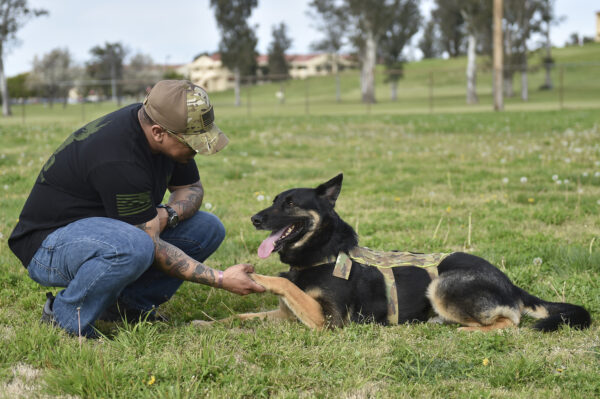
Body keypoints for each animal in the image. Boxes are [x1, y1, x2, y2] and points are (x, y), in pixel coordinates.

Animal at [206, 173, 592, 332]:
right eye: (273, 200)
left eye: (289, 203)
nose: (255, 218)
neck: (323, 254)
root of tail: (510, 283)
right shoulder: (286, 316)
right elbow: (243, 317)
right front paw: (206, 323)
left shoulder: (329, 321)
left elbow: (284, 283)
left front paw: (257, 276)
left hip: (442, 284)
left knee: (509, 322)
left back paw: (465, 331)